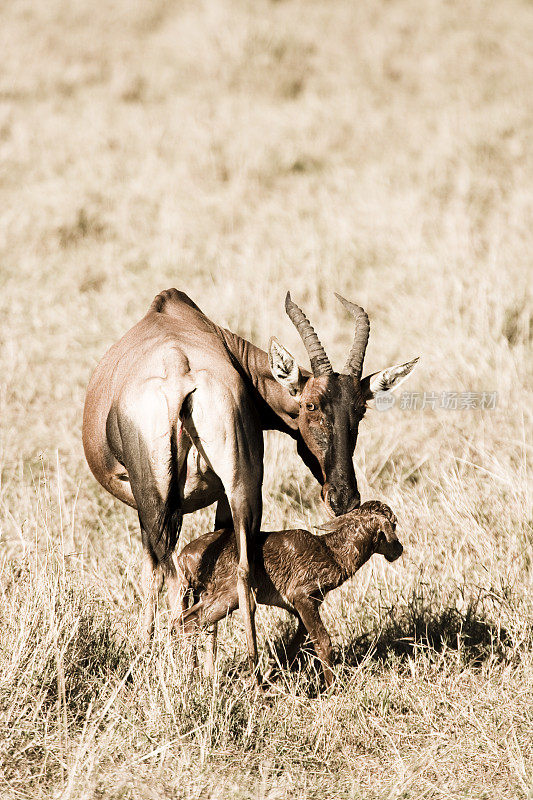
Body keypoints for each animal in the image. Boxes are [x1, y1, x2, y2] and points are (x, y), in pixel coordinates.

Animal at [175, 504, 404, 684]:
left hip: (205, 594)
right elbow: (323, 642)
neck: (332, 553)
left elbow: (293, 647)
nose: (399, 549)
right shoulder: (302, 596)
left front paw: (271, 678)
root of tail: (184, 558)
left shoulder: (303, 606)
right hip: (229, 594)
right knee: (188, 622)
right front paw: (333, 689)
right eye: (393, 524)